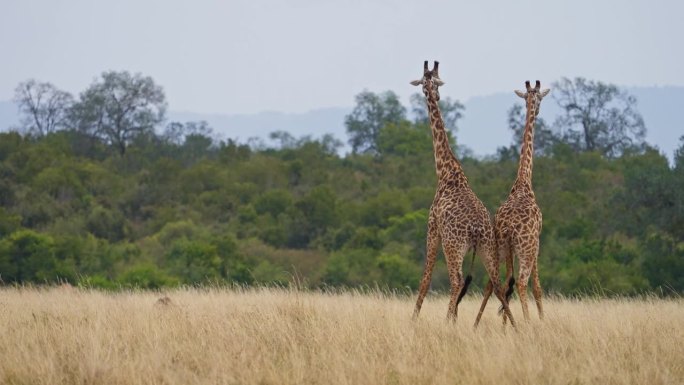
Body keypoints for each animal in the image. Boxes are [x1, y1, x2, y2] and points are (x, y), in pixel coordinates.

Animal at [408, 61, 516, 326]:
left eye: (426, 83)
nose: (434, 96)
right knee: (497, 284)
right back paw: (516, 326)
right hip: (487, 247)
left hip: (453, 246)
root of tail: (476, 228)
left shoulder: (432, 227)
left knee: (456, 280)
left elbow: (425, 278)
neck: (446, 171)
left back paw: (447, 322)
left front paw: (413, 319)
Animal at [476, 79, 552, 326]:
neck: (523, 182)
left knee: (496, 282)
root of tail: (509, 228)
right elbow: (537, 287)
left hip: (500, 247)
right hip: (525, 249)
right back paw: (526, 323)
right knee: (520, 282)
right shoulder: (537, 242)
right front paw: (541, 321)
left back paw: (482, 324)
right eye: (540, 98)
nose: (538, 109)